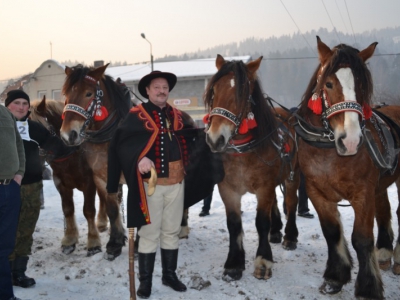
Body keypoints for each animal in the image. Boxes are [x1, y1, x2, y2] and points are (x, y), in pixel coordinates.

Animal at [30, 98, 107, 255]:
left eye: (41, 129)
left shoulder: (89, 183)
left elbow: (88, 210)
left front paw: (94, 242)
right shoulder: (61, 184)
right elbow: (68, 209)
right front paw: (69, 240)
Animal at [59, 63, 131, 260]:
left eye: (89, 93)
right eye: (65, 94)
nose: (68, 135)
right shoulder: (101, 178)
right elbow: (112, 209)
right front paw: (114, 243)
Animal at [203, 55, 300, 282]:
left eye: (241, 94)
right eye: (214, 91)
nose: (215, 139)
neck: (243, 152)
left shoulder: (264, 187)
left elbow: (261, 222)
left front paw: (263, 261)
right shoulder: (227, 189)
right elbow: (233, 224)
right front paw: (234, 263)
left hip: (292, 176)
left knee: (292, 202)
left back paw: (290, 236)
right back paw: (276, 231)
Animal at [294, 36, 400, 298]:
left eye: (362, 84)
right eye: (329, 84)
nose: (350, 140)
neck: (328, 151)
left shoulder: (362, 193)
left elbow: (361, 239)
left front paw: (368, 287)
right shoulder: (316, 192)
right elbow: (332, 233)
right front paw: (335, 276)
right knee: (384, 209)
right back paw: (384, 252)